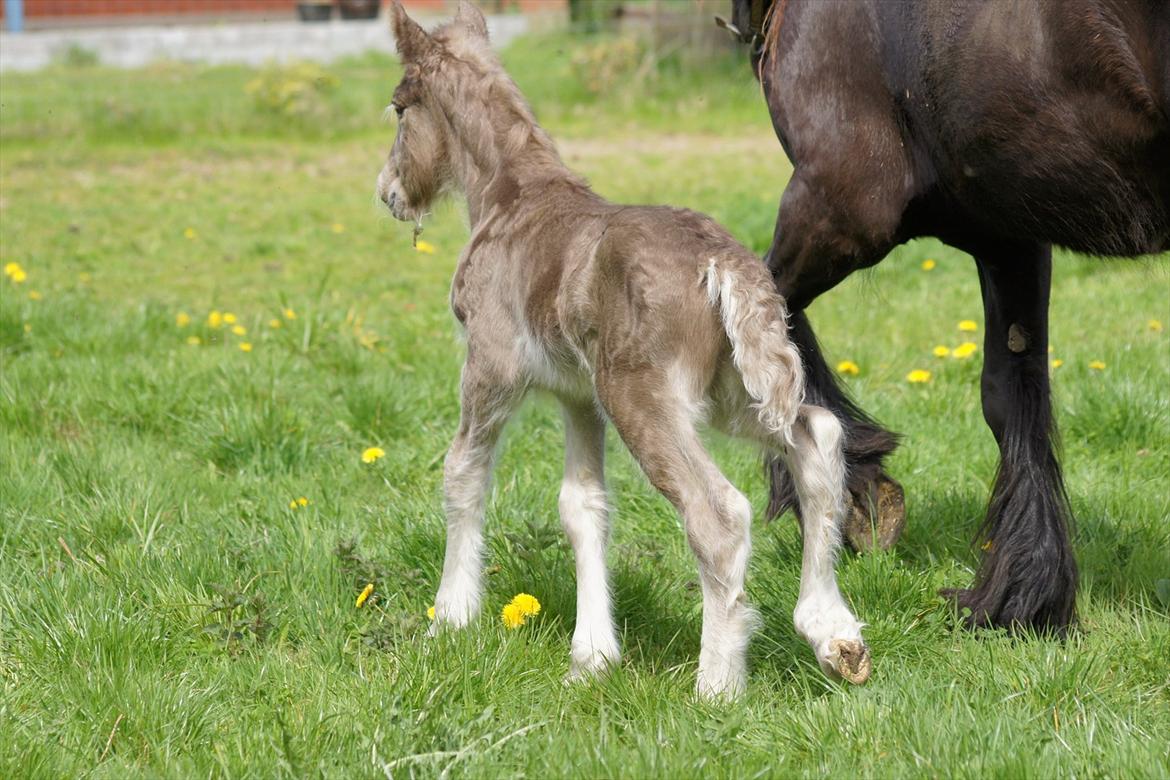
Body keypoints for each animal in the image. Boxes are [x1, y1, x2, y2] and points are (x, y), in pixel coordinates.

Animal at [374, 0, 870, 696]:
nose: (389, 192)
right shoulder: (578, 397)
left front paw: (450, 618)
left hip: (641, 395)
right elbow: (582, 506)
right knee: (817, 439)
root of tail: (724, 263)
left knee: (719, 513)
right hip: (730, 391)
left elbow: (462, 474)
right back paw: (834, 636)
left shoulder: (491, 367)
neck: (507, 194)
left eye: (398, 108)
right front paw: (592, 656)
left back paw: (717, 685)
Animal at [725, 0, 1165, 636]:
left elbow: (763, 317)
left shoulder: (842, 200)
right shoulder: (1008, 234)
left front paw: (851, 491)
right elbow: (1011, 394)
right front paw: (1024, 596)